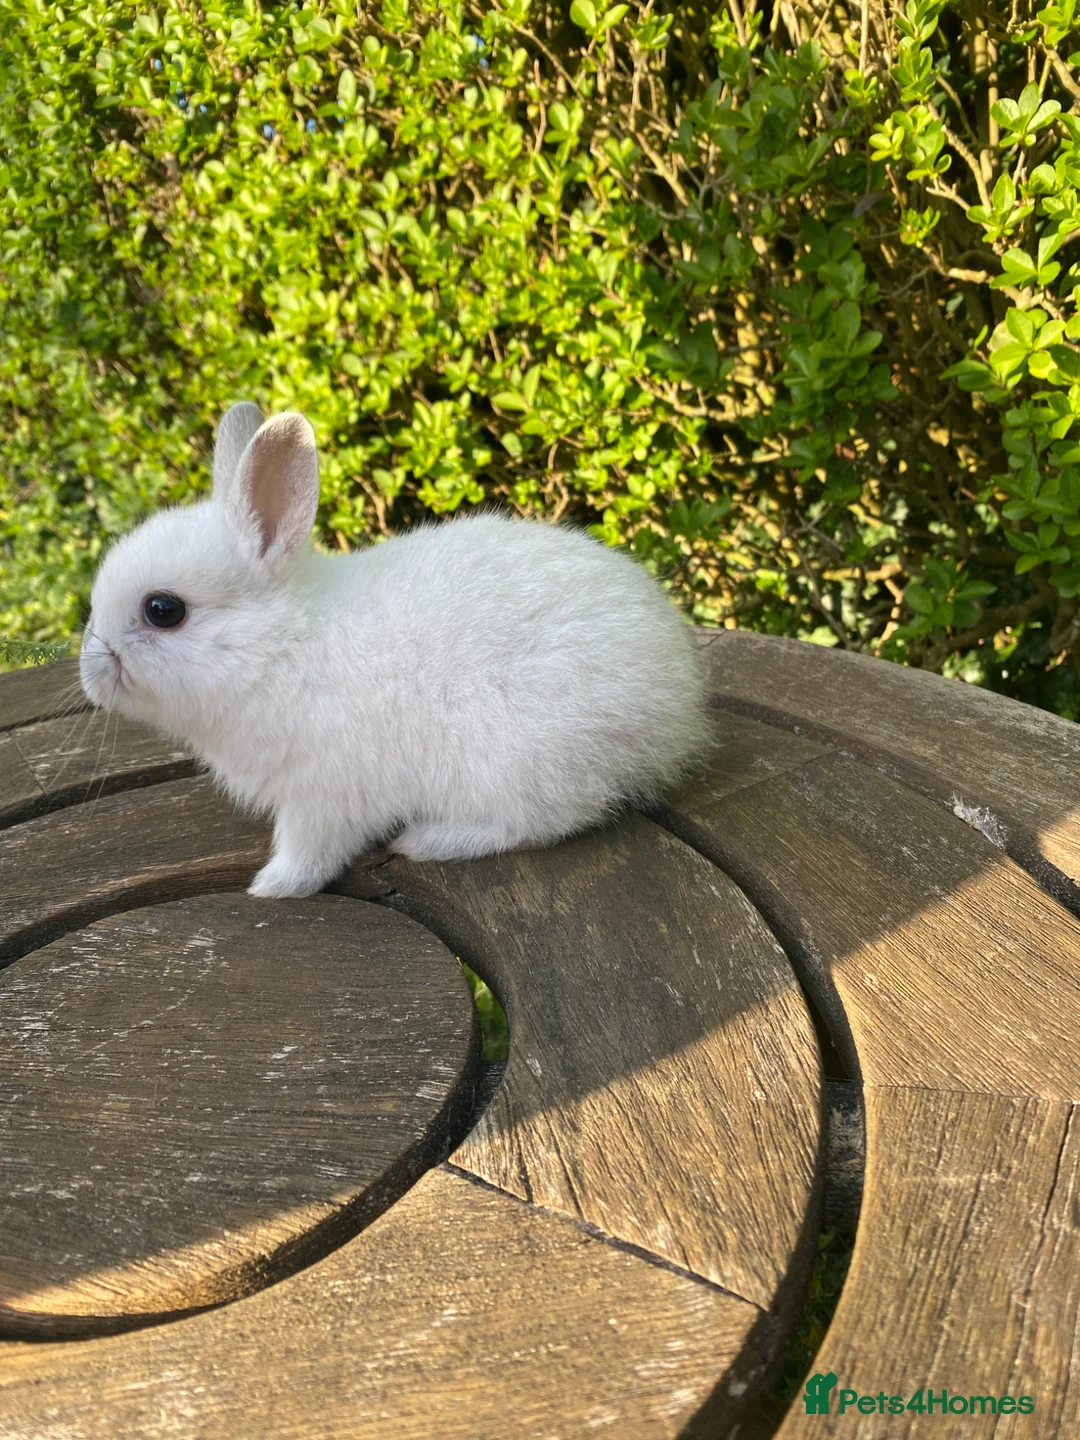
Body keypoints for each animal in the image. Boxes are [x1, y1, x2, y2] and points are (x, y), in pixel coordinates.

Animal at [79, 403, 713, 898]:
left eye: (164, 610)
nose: (90, 672)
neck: (281, 645)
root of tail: (678, 704)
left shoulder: (322, 795)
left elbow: (309, 851)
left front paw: (272, 886)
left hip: (520, 756)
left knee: (546, 819)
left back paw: (430, 840)